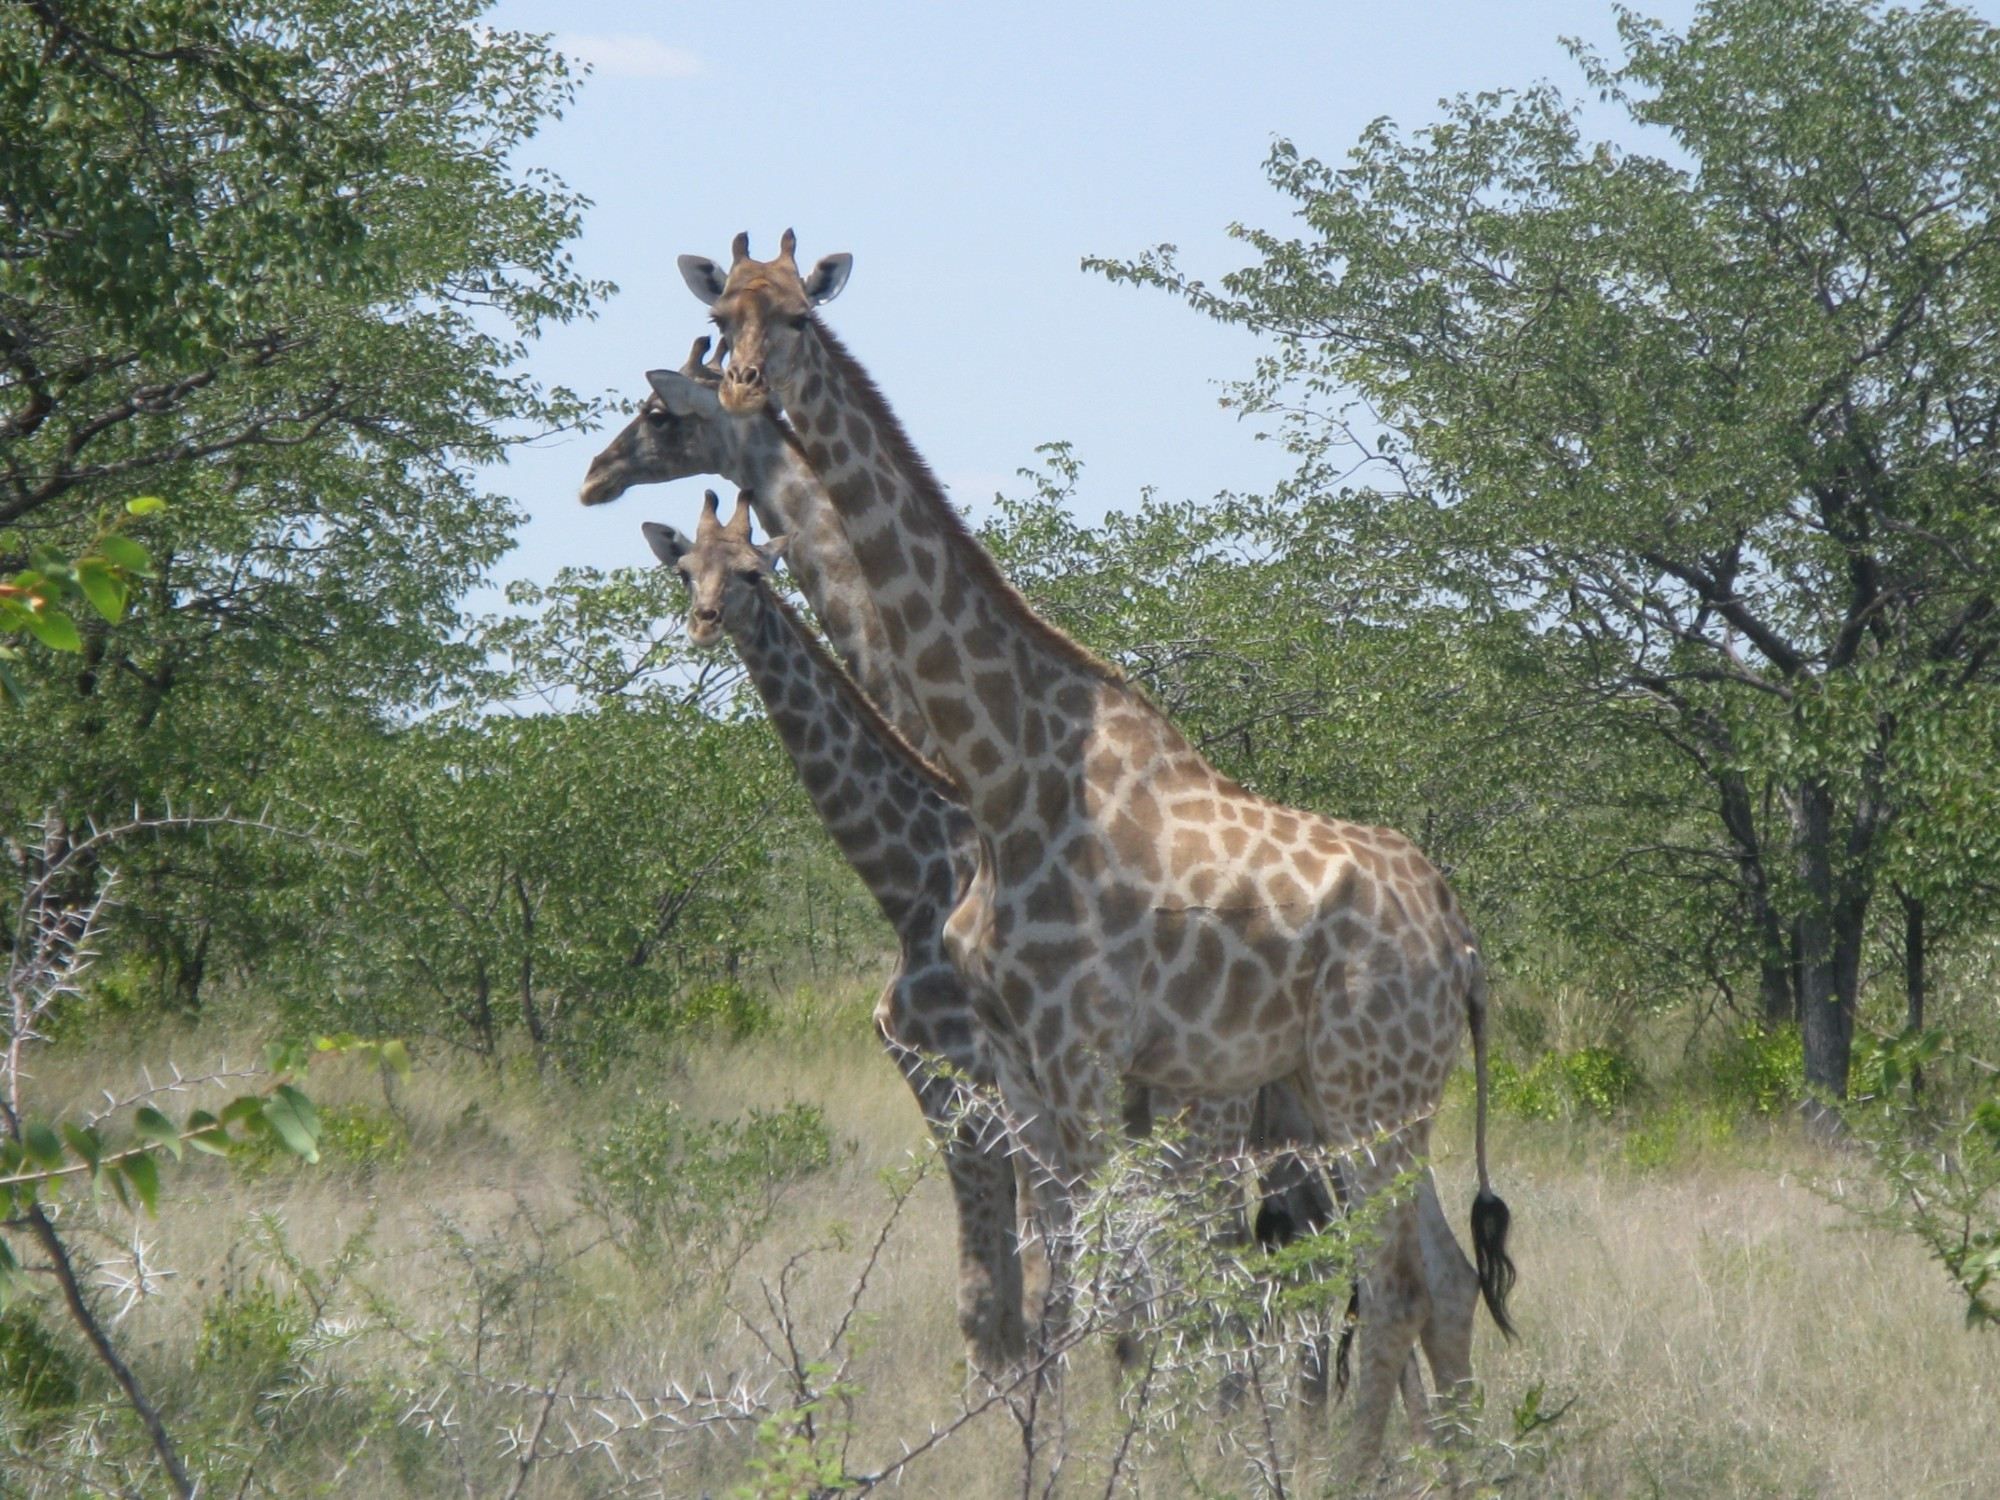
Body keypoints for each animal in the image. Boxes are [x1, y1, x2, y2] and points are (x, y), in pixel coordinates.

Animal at [584, 344, 1336, 1384]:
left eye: (752, 572)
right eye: (686, 568)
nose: (594, 476)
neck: (909, 876)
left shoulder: (978, 1088)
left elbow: (1027, 1291)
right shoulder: (951, 1084)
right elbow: (1006, 1297)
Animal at [676, 232, 1512, 1472]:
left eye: (797, 321)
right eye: (719, 317)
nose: (736, 390)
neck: (998, 775)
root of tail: (1459, 943)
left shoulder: (1062, 1066)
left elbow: (1094, 1298)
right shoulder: (1016, 1075)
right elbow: (1046, 1295)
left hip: (1363, 1094)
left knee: (1385, 1286)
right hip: (1369, 1099)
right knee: (1427, 1281)